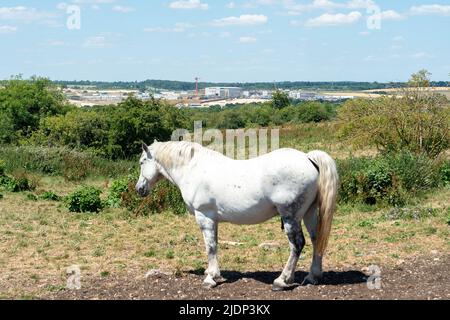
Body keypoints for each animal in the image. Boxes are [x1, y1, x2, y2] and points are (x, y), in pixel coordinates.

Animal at [135, 140, 340, 290]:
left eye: (142, 162)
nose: (139, 189)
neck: (193, 169)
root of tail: (308, 158)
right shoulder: (213, 220)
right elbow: (215, 245)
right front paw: (214, 273)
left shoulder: (204, 217)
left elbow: (210, 246)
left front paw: (210, 278)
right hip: (309, 213)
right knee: (316, 240)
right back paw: (312, 277)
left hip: (291, 216)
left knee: (297, 245)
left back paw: (282, 281)